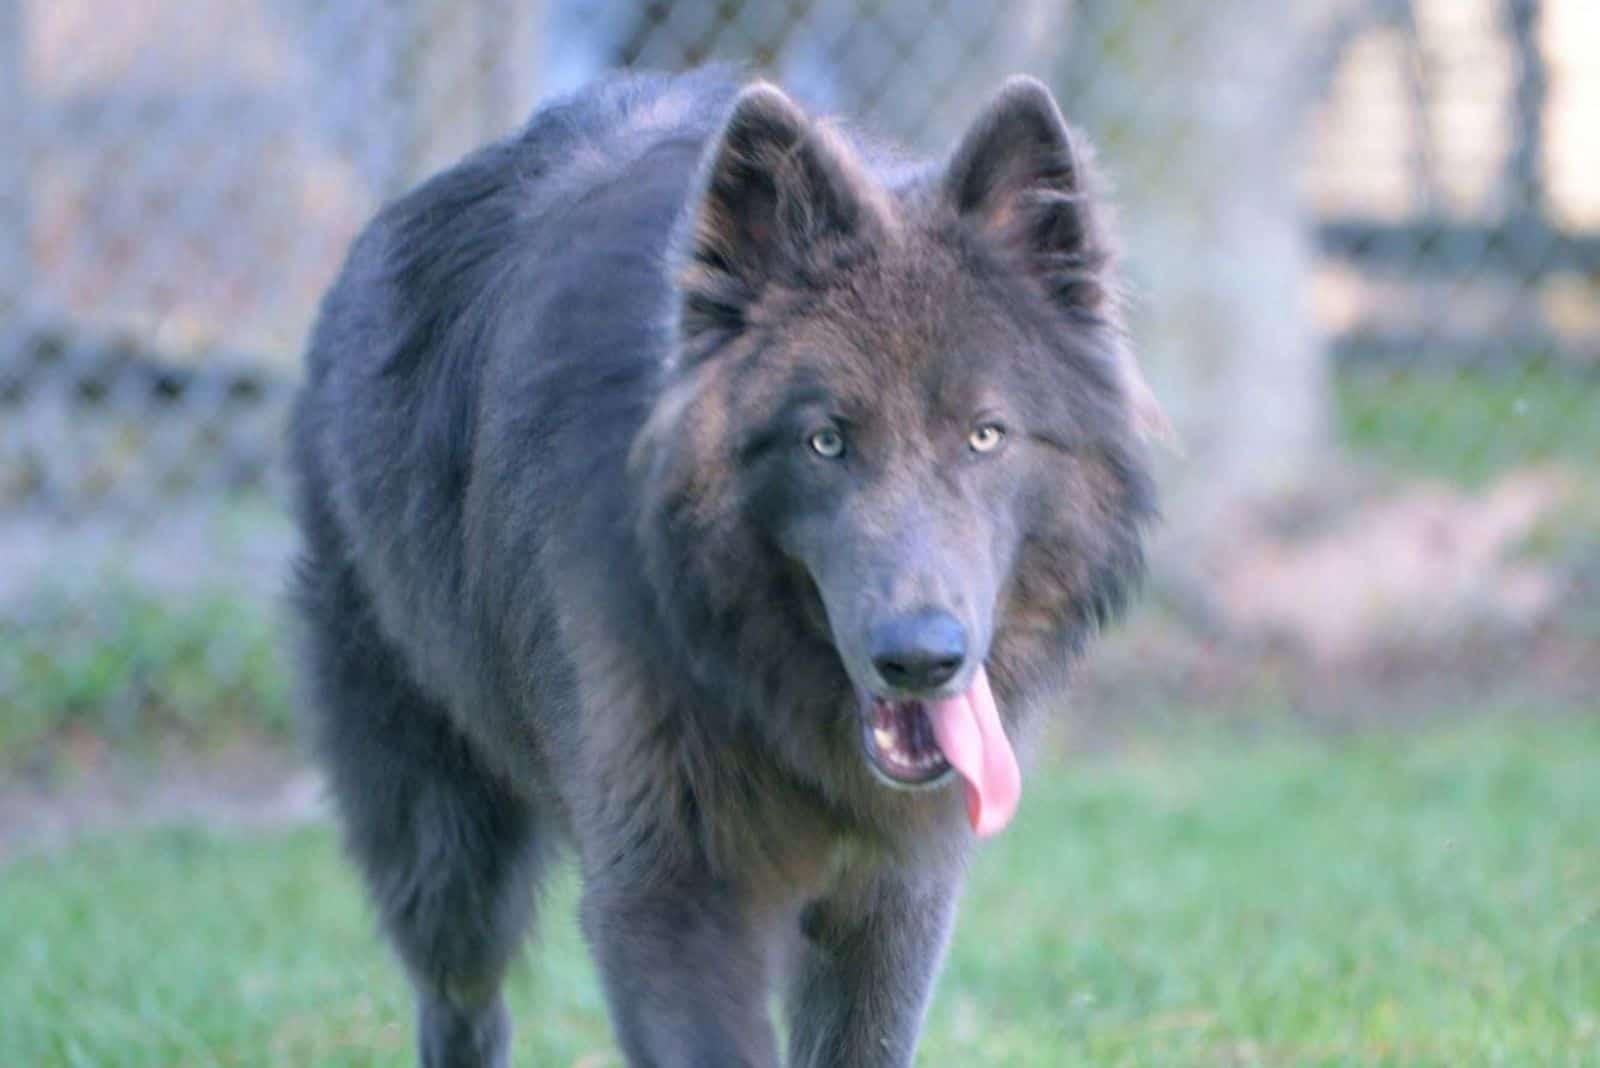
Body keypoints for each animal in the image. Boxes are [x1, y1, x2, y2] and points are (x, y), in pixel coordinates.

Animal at [288, 68, 1158, 1068]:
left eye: (986, 434)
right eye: (826, 441)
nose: (921, 659)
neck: (765, 696)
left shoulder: (890, 902)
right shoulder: (670, 899)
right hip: (444, 855)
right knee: (460, 1004)